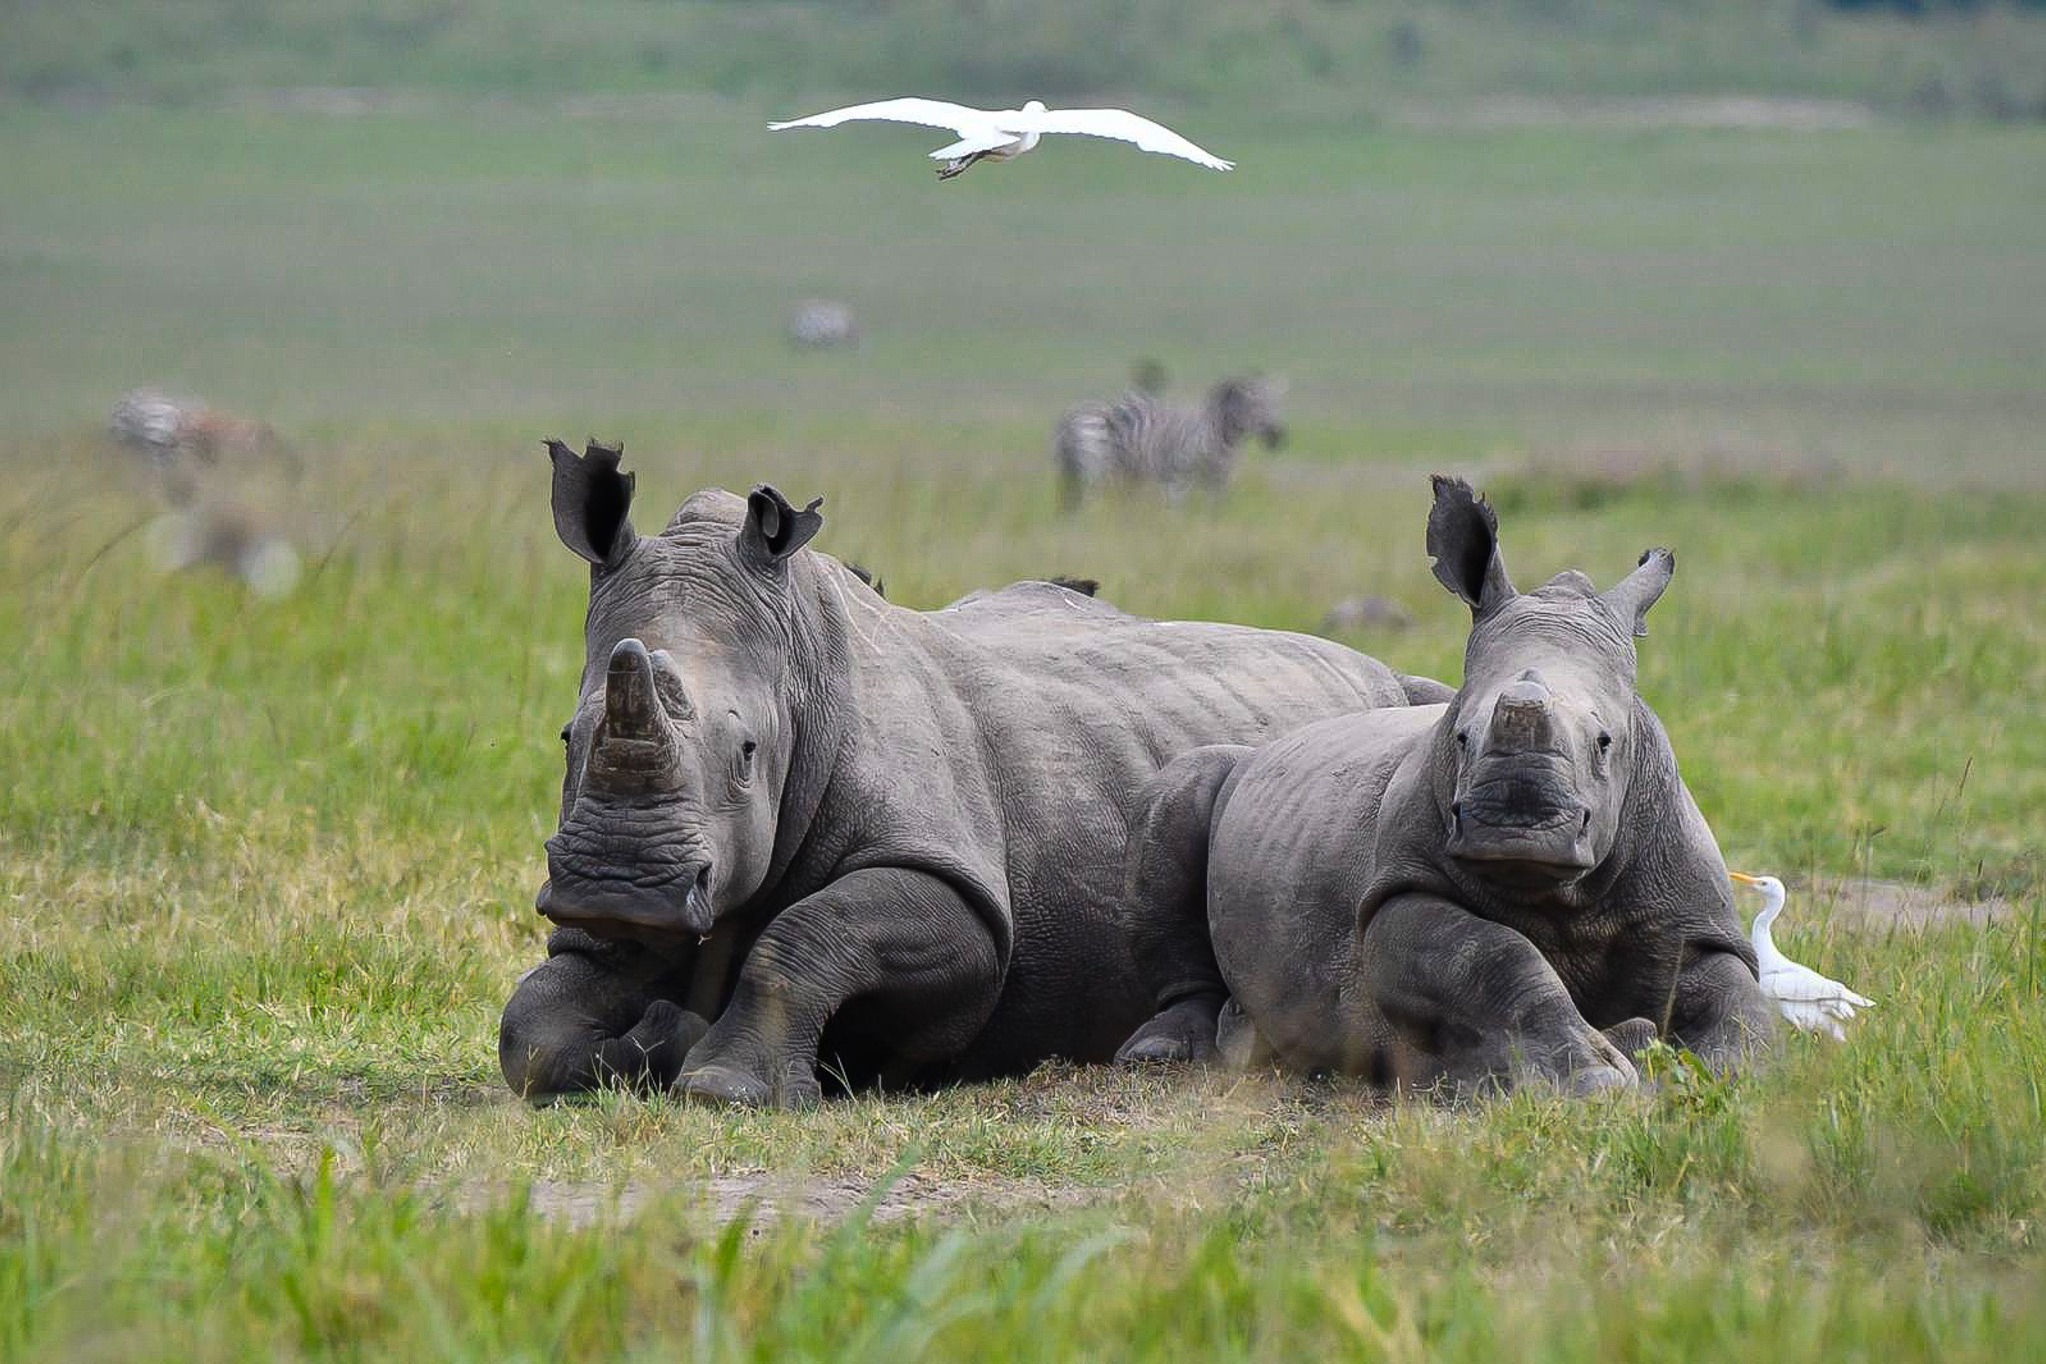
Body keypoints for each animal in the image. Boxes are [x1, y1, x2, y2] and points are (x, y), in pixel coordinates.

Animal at [498, 440, 1451, 1108]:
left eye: (746, 755)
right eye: (566, 736)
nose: (619, 887)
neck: (803, 664)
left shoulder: (959, 890)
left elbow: (810, 933)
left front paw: (719, 1084)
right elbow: (531, 1027)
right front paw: (658, 1034)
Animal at [1053, 374, 1287, 509]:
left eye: (1273, 405)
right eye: (1253, 407)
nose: (1277, 438)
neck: (1214, 436)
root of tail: (1068, 416)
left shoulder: (1218, 480)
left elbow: (1214, 511)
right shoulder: (1177, 475)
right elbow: (1177, 510)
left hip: (1075, 467)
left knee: (1072, 502)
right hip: (1094, 464)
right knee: (1087, 500)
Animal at [1113, 476, 1774, 1095]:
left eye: (1605, 742)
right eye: (1459, 736)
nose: (1516, 828)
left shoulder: (1692, 921)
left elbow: (1737, 996)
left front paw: (1734, 1074)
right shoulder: (1398, 890)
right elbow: (1493, 956)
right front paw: (1594, 1081)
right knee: (1185, 790)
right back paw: (1167, 1052)